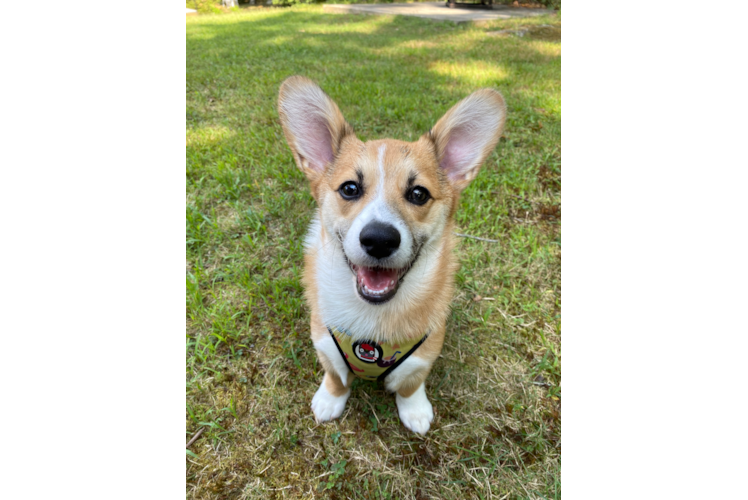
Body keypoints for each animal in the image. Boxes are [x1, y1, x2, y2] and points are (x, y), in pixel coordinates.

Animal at [278, 77, 506, 434]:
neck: (375, 321)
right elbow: (335, 376)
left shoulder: (424, 354)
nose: (379, 240)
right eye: (349, 189)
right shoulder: (324, 343)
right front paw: (330, 400)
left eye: (418, 194)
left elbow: (411, 384)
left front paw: (415, 411)